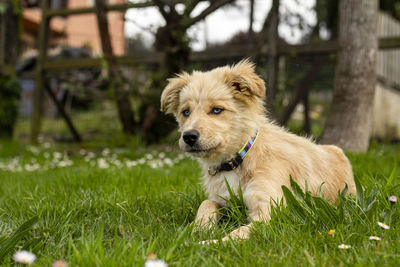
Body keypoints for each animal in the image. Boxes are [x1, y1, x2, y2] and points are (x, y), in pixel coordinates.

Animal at [159, 60, 356, 243]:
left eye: (216, 110)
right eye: (185, 112)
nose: (189, 136)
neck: (238, 160)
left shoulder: (270, 213)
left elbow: (236, 234)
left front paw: (207, 243)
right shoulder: (225, 201)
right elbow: (206, 203)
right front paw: (199, 229)